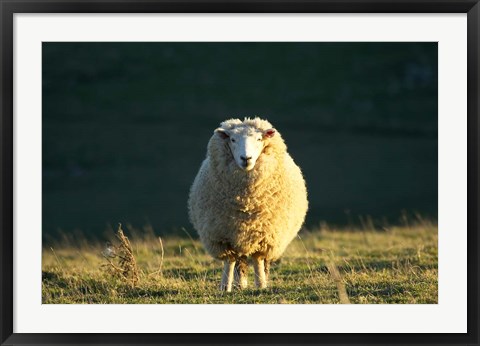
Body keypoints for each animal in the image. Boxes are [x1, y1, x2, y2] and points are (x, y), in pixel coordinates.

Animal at [188, 117, 308, 290]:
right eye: (232, 139)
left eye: (259, 139)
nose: (246, 159)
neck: (247, 203)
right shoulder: (224, 236)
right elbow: (229, 262)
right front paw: (225, 287)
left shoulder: (263, 235)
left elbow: (258, 261)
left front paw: (261, 285)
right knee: (240, 262)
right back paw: (240, 284)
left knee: (262, 263)